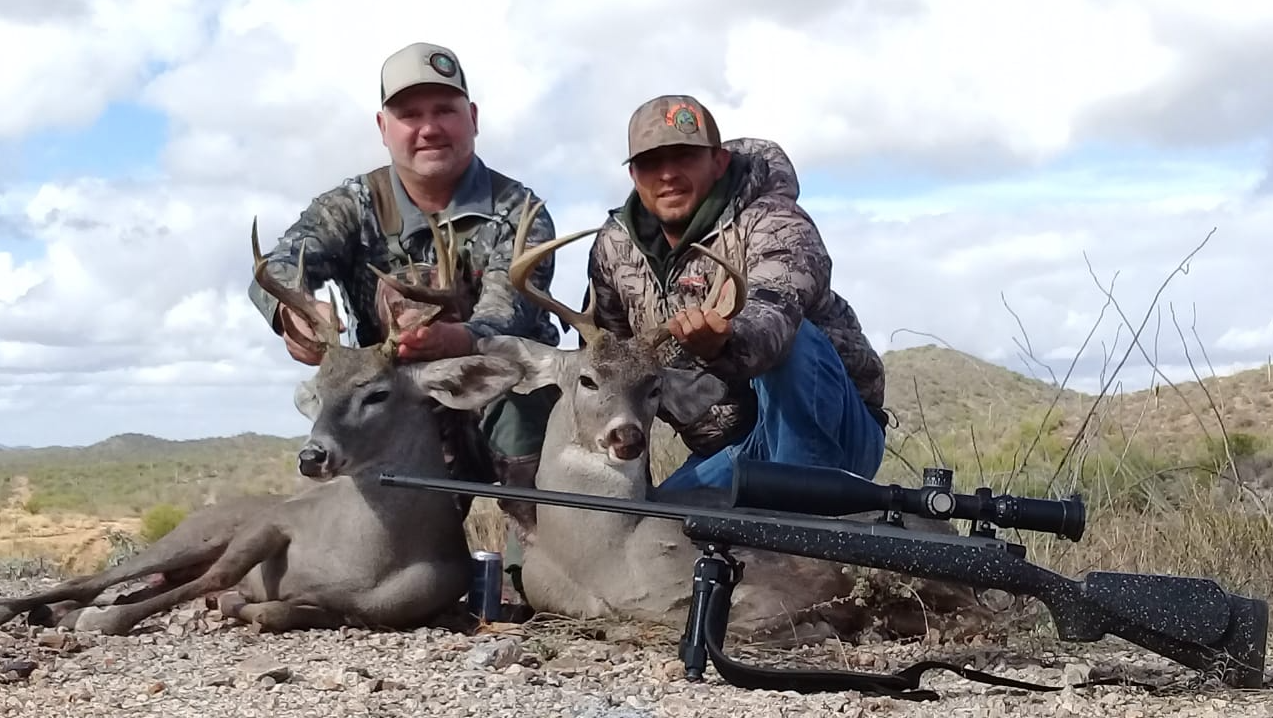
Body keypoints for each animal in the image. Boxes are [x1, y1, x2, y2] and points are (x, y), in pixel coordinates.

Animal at [0, 213, 527, 636]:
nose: (312, 456)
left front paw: (243, 607)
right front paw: (106, 620)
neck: (368, 558)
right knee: (99, 578)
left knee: (128, 586)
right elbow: (221, 575)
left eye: (377, 392)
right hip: (189, 536)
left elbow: (280, 608)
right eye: (317, 391)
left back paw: (57, 613)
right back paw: (31, 608)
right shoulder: (273, 522)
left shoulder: (382, 607)